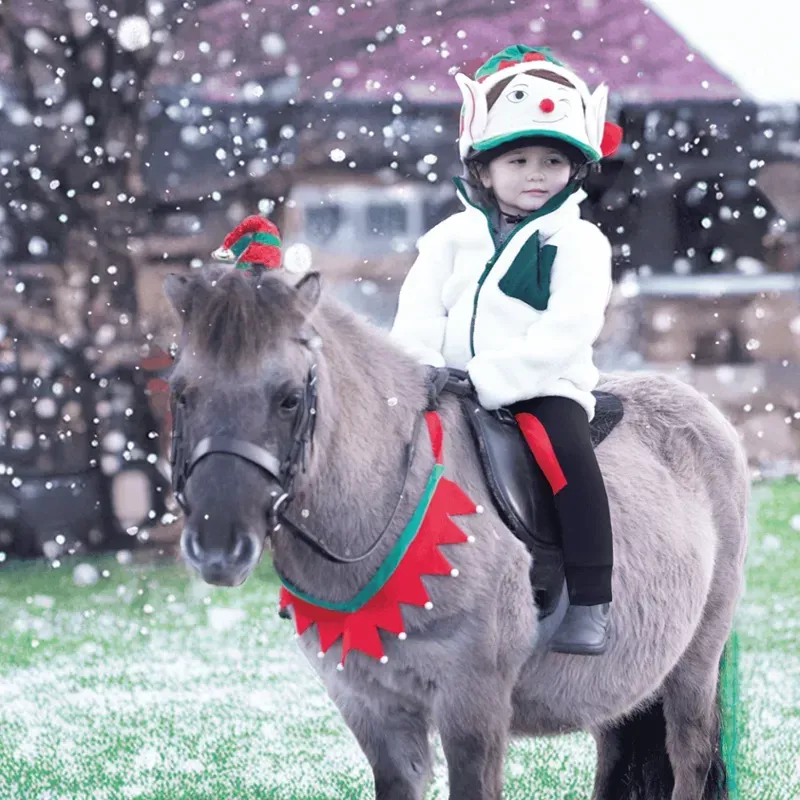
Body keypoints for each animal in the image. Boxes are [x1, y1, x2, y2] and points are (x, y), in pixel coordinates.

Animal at [164, 265, 748, 800]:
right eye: (181, 394)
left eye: (288, 398)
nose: (217, 549)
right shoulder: (371, 708)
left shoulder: (473, 705)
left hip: (695, 662)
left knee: (692, 757)